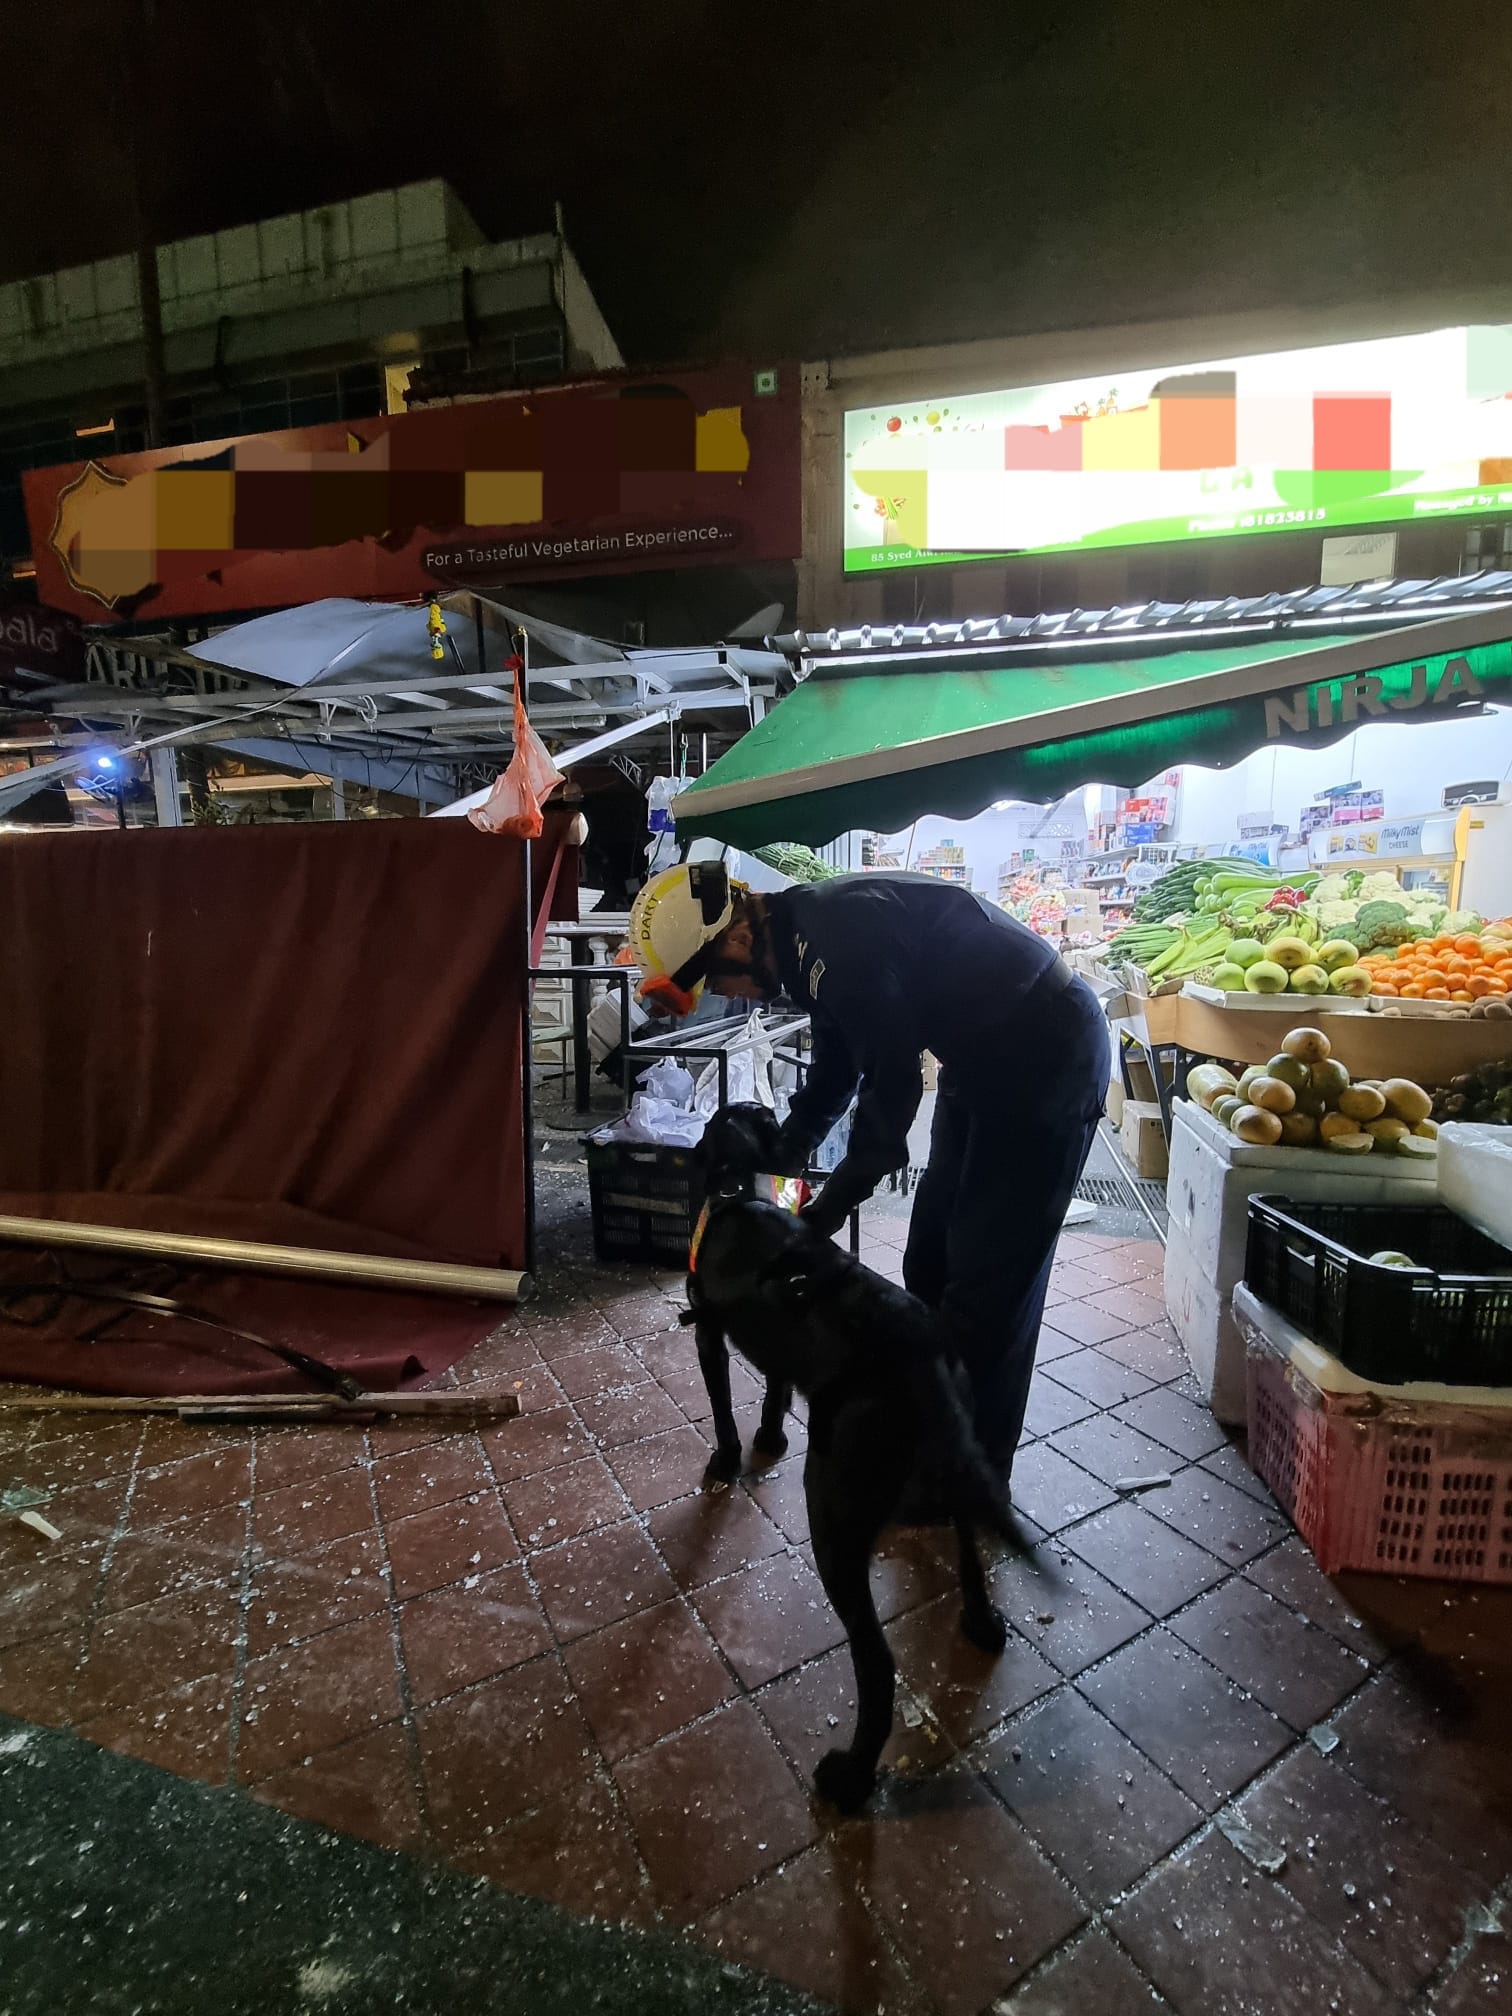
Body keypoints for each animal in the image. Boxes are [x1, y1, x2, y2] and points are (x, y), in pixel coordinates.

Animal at [689, 1104, 1024, 1814]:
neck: (736, 1187)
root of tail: (921, 1349)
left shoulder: (707, 1331)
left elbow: (724, 1410)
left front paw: (727, 1459)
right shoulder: (780, 1355)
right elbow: (773, 1393)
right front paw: (768, 1439)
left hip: (833, 1515)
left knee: (877, 1663)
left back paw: (850, 1778)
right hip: (949, 1466)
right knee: (967, 1549)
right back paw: (981, 1621)